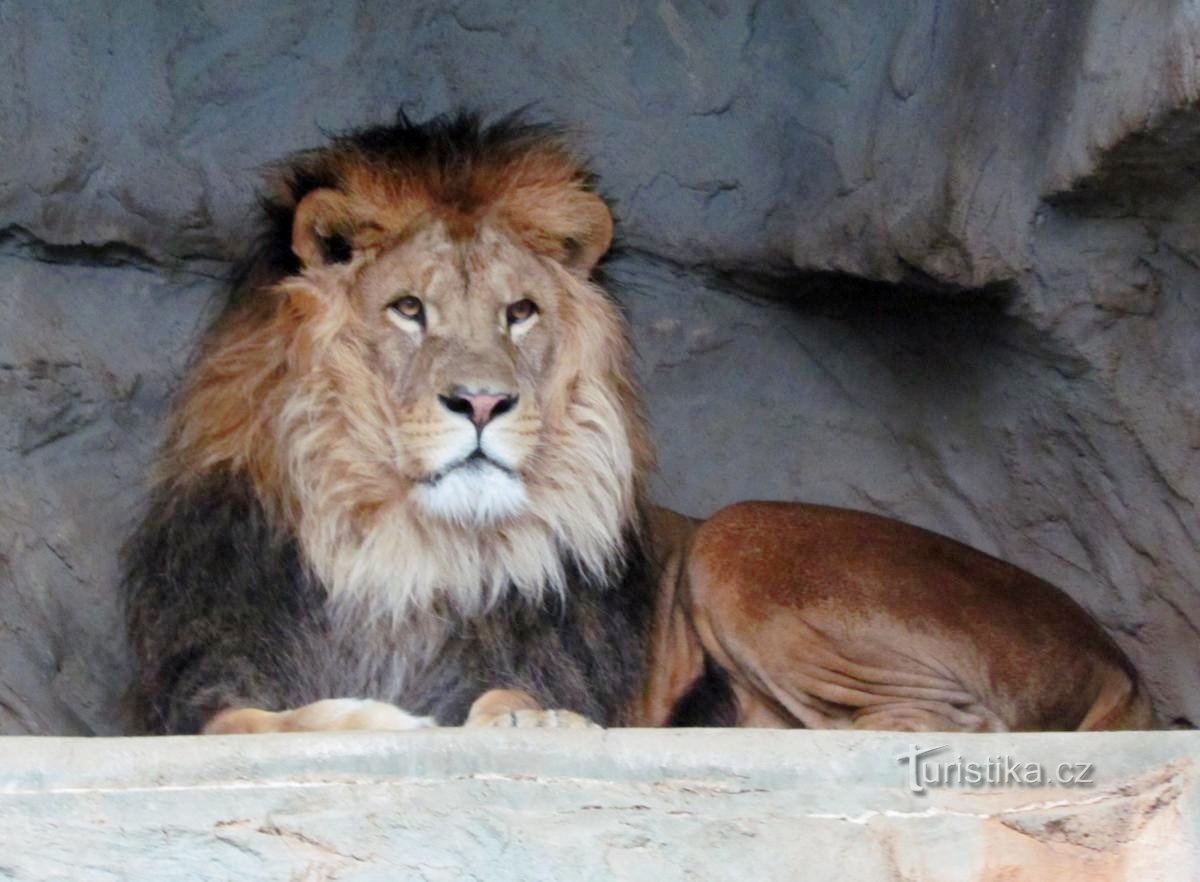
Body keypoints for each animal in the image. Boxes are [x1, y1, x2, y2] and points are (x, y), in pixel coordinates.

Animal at [121, 110, 1152, 734]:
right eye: (409, 309)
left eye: (519, 313)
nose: (484, 402)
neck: (403, 547)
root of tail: (1120, 662)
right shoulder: (200, 682)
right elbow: (247, 721)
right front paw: (376, 718)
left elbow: (488, 695)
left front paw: (521, 716)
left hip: (740, 538)